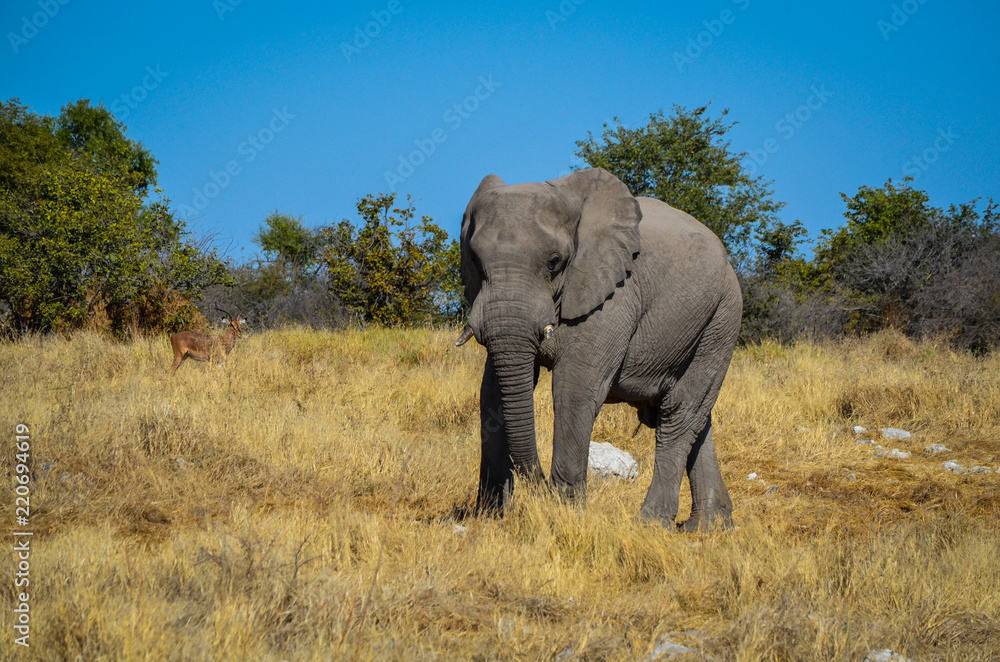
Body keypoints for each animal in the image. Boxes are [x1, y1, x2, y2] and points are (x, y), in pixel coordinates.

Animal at [457, 168, 742, 530]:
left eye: (554, 262)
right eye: (475, 261)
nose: (540, 486)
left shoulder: (614, 294)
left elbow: (574, 389)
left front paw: (565, 512)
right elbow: (492, 393)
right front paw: (490, 517)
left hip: (722, 319)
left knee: (679, 412)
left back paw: (650, 524)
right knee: (699, 417)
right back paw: (710, 527)